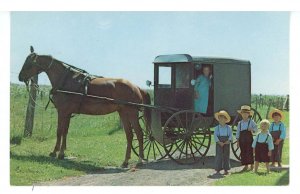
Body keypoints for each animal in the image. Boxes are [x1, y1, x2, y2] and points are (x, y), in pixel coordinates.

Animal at [17, 46, 151, 167]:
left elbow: (59, 131)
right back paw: (125, 161)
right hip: (123, 113)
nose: (20, 77)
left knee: (139, 134)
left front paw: (55, 152)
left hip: (132, 113)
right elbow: (65, 131)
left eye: (29, 64)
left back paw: (140, 160)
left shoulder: (62, 111)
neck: (66, 80)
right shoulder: (68, 113)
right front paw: (62, 153)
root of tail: (136, 87)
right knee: (129, 135)